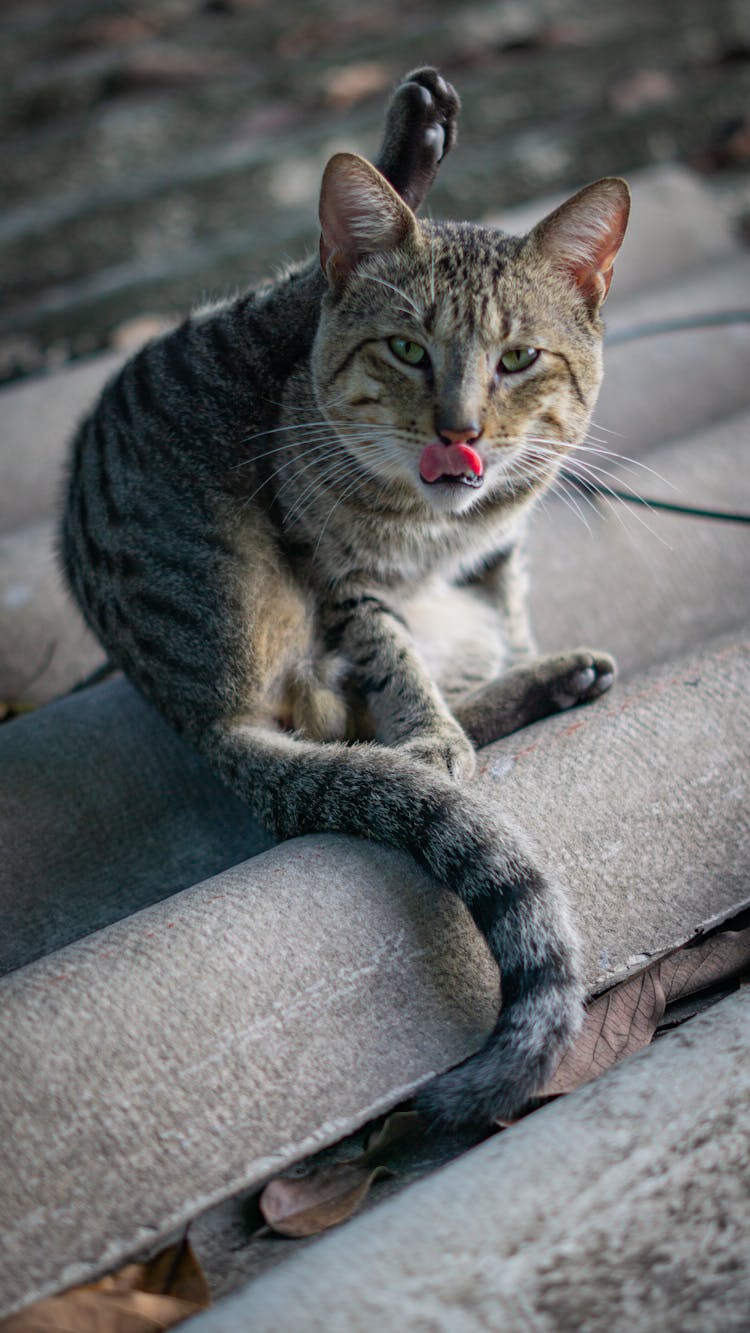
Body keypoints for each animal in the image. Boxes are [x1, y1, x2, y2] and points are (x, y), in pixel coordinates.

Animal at [61, 70, 631, 1125]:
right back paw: (411, 144)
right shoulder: (341, 580)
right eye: (406, 350)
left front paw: (514, 664)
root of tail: (193, 713)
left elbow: (503, 601)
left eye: (519, 359)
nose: (461, 431)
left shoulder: (495, 553)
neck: (440, 531)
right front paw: (434, 732)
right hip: (189, 382)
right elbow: (388, 660)